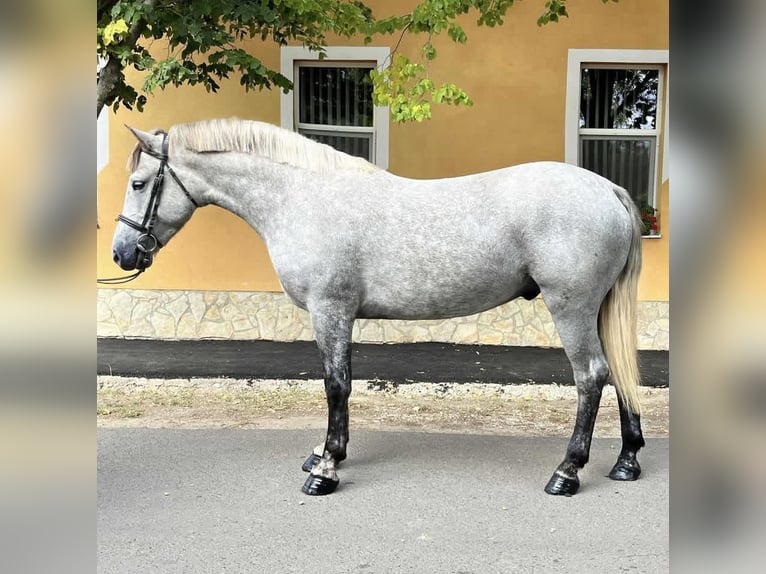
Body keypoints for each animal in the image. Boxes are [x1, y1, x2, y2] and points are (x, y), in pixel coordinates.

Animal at [110, 118, 645, 497]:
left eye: (138, 183)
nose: (121, 253)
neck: (301, 198)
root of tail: (608, 189)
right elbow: (339, 384)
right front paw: (323, 455)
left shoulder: (330, 310)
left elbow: (336, 386)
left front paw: (325, 469)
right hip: (597, 310)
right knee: (618, 372)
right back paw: (626, 461)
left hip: (571, 308)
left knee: (591, 376)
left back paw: (567, 472)